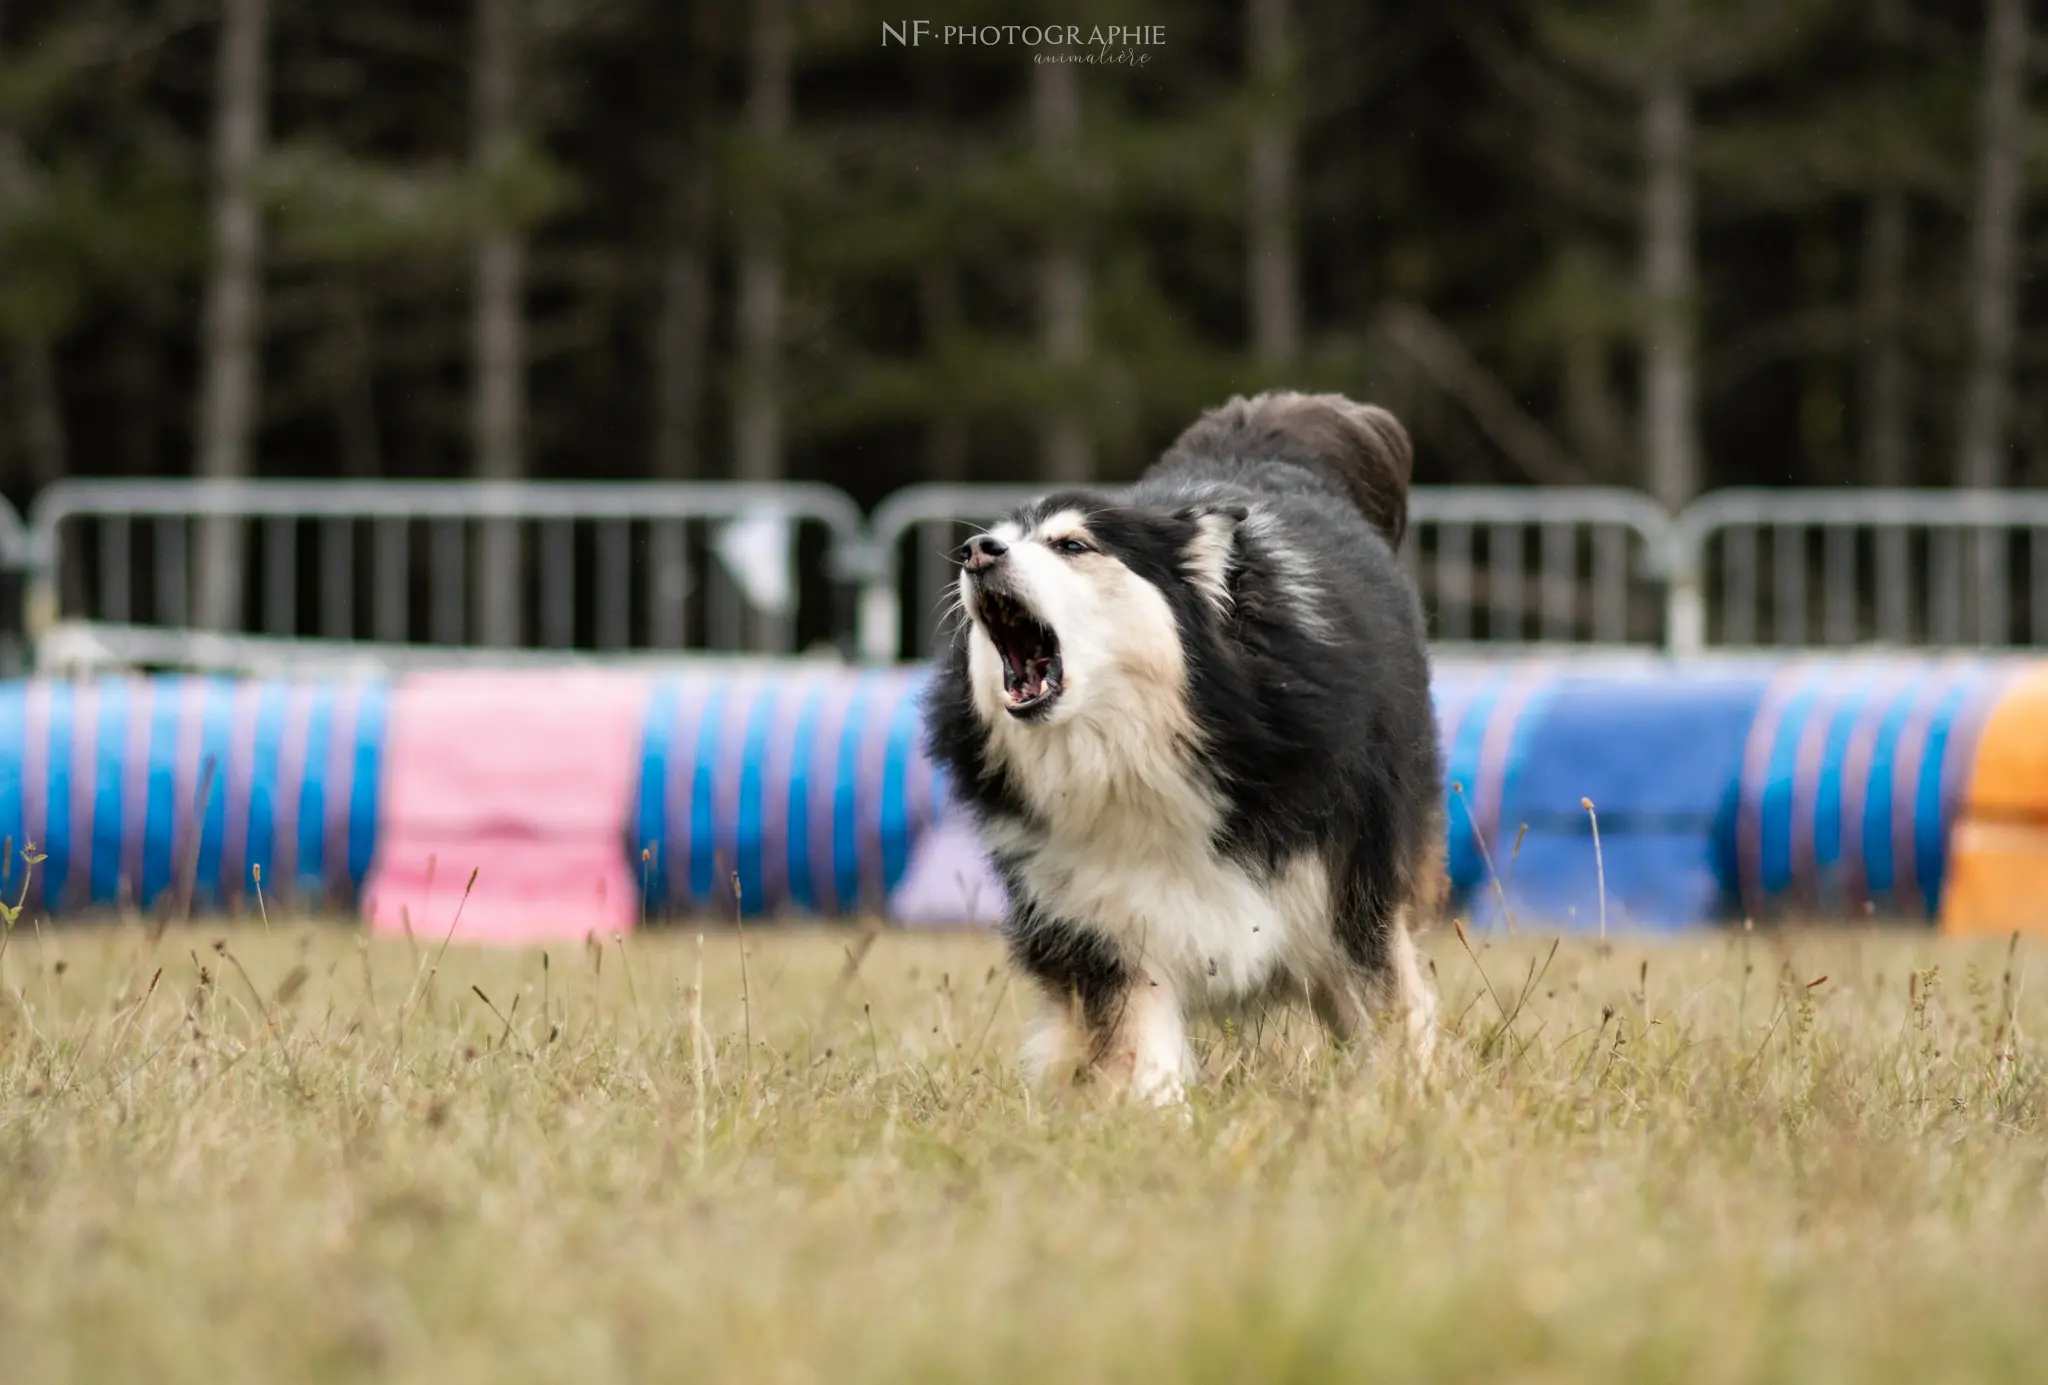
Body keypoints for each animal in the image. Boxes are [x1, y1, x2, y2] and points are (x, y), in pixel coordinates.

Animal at [929, 389, 1441, 1106]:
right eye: (998, 537)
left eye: (1071, 544)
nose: (977, 551)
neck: (1140, 759)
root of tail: (1257, 434)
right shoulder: (1102, 925)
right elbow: (1138, 1044)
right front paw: (1151, 1115)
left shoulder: (1348, 887)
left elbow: (1387, 1009)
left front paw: (1399, 1100)